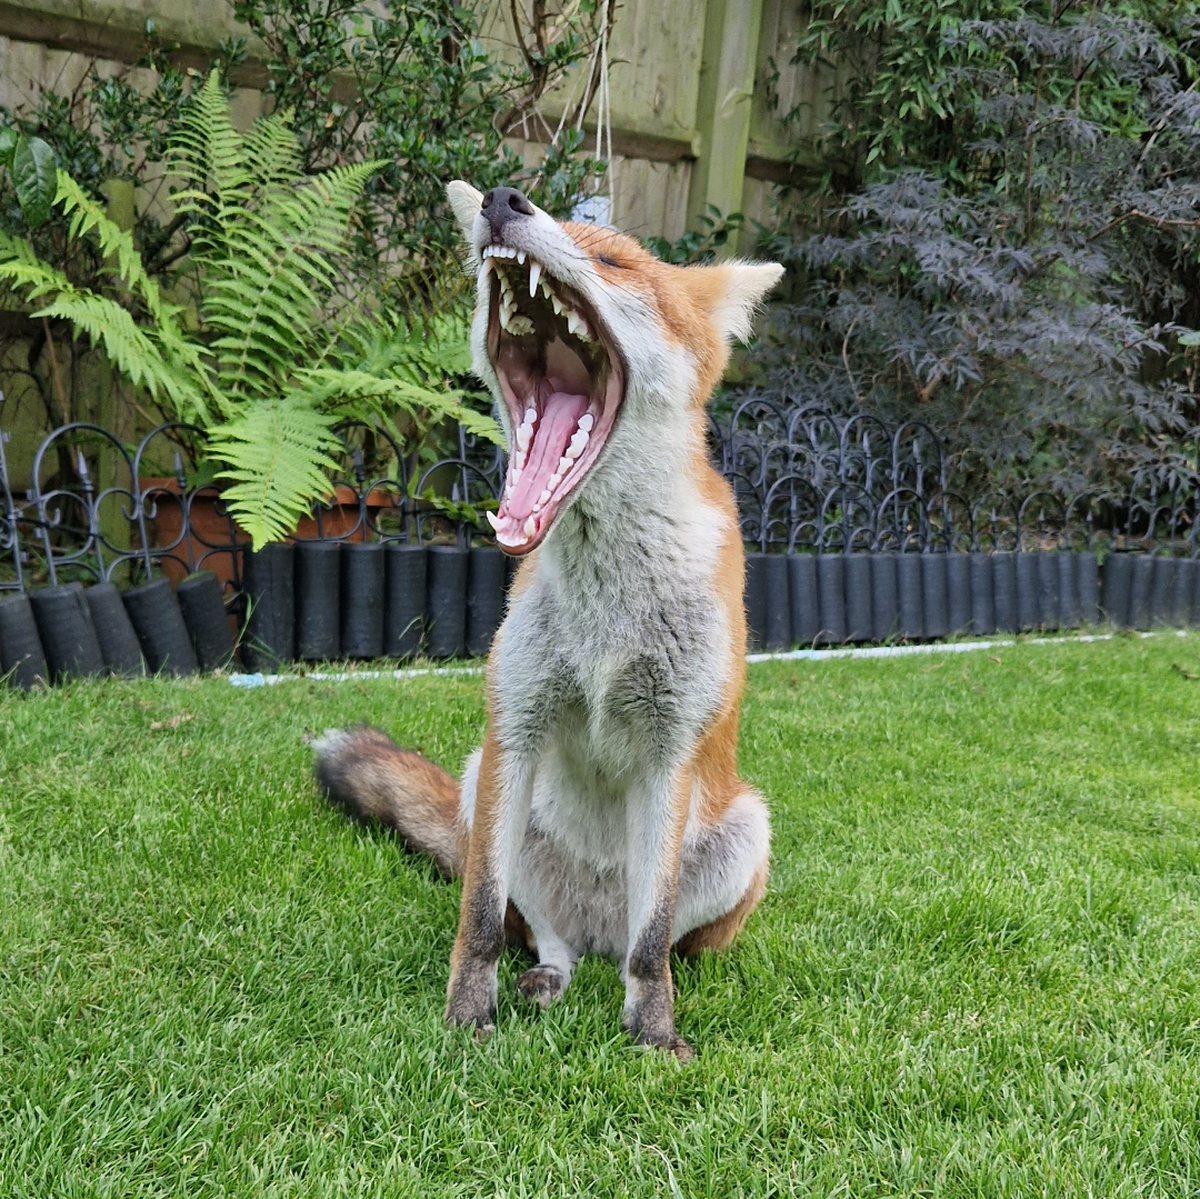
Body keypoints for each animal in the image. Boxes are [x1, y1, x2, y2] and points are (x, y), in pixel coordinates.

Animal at [312, 181, 783, 1059]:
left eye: (614, 261)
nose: (500, 201)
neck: (609, 602)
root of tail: (595, 929)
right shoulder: (516, 724)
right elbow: (478, 919)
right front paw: (466, 1019)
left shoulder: (670, 749)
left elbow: (652, 939)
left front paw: (652, 1035)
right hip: (482, 787)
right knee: (541, 935)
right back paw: (550, 977)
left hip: (745, 831)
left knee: (647, 942)